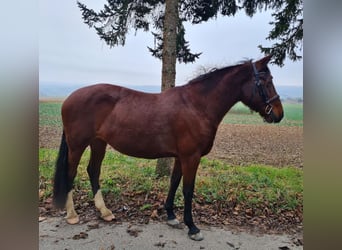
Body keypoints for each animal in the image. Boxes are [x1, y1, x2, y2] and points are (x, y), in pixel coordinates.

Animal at [52, 54, 284, 240]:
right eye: (266, 81)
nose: (279, 114)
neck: (197, 105)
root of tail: (69, 98)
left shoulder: (181, 156)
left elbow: (174, 182)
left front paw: (171, 216)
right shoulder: (191, 157)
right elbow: (188, 189)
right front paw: (192, 227)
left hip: (98, 142)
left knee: (93, 170)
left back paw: (105, 211)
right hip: (77, 145)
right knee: (71, 173)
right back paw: (72, 215)